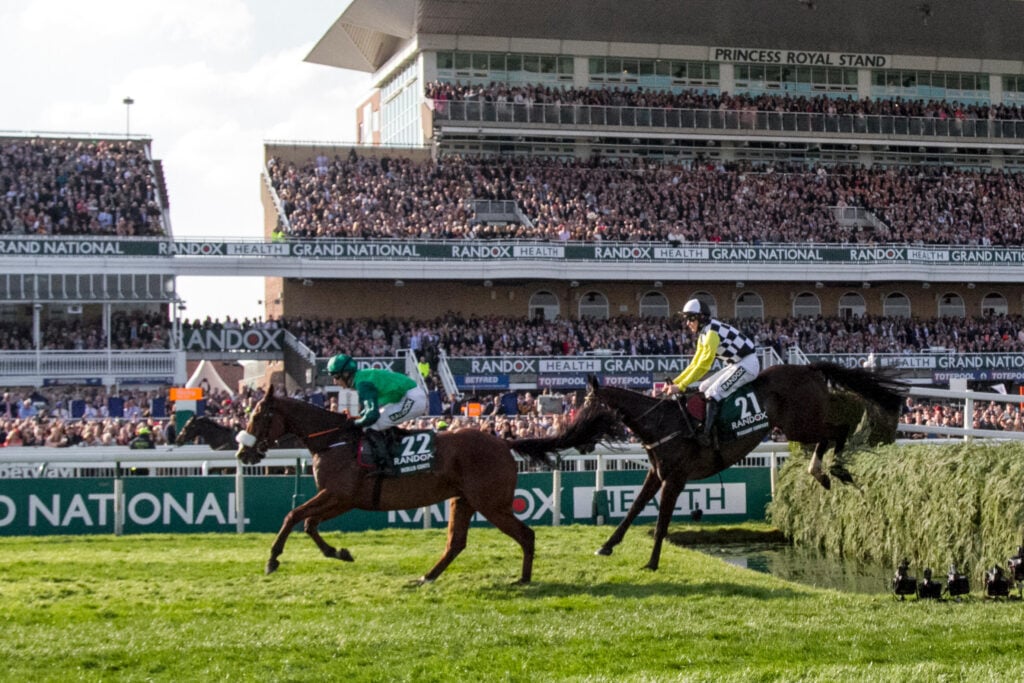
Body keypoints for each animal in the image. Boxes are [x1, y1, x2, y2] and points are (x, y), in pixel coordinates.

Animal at [235, 387, 618, 585]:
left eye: (258, 416)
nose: (243, 452)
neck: (334, 441)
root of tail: (503, 442)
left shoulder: (338, 494)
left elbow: (293, 516)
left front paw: (272, 559)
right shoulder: (341, 499)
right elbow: (309, 523)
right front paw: (340, 552)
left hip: (492, 503)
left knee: (526, 535)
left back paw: (522, 579)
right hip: (463, 500)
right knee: (456, 543)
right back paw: (427, 577)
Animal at [585, 362, 905, 573]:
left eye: (589, 407)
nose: (581, 440)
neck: (661, 422)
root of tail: (809, 367)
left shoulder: (675, 479)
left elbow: (662, 522)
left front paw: (651, 563)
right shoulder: (657, 473)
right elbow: (634, 508)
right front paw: (607, 545)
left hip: (800, 423)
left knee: (838, 430)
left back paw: (833, 467)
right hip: (799, 425)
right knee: (830, 435)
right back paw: (821, 471)